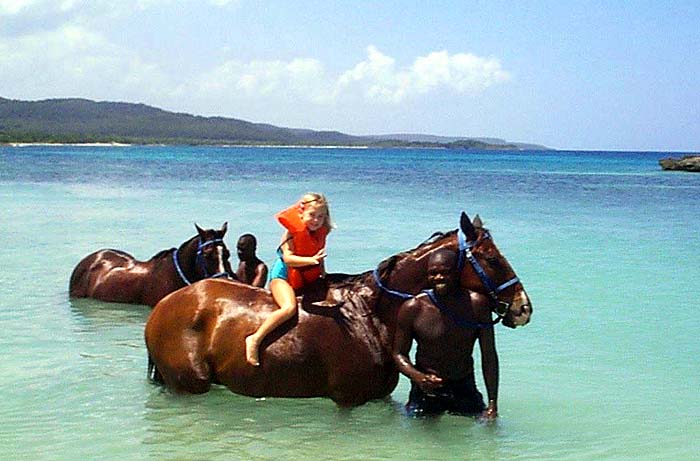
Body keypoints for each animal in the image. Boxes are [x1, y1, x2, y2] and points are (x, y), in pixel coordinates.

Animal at [145, 214, 532, 404]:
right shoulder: (348, 400)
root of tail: (164, 305)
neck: (370, 314)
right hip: (189, 385)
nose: (523, 307)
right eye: (492, 259)